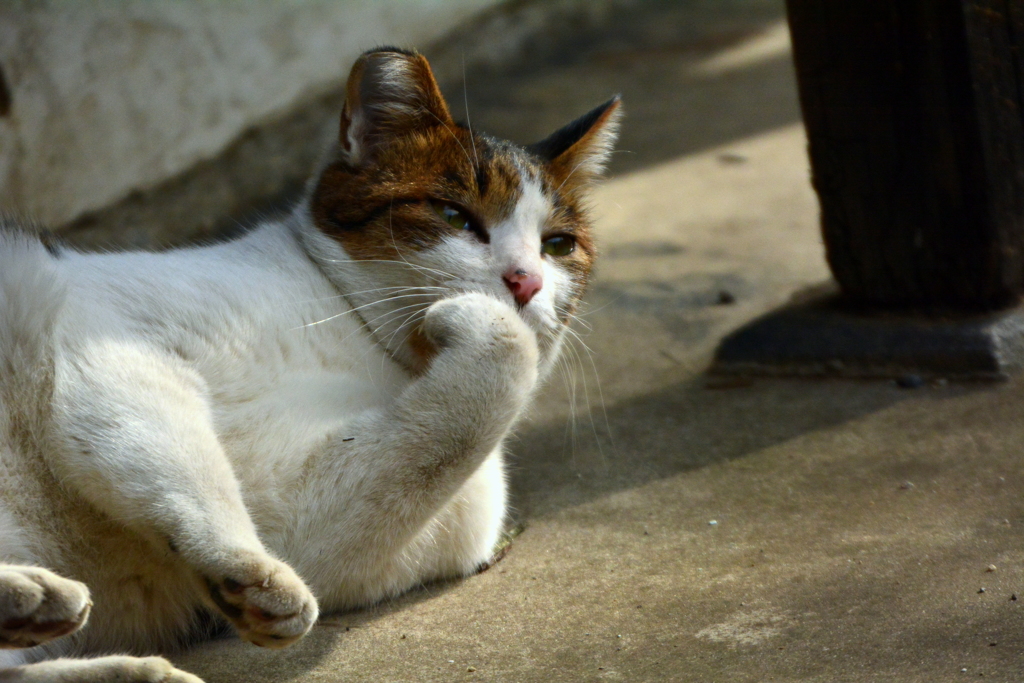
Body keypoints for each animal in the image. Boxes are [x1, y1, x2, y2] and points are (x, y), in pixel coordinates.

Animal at [0, 48, 618, 683]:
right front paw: (246, 567)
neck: (359, 340)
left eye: (558, 245)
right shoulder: (107, 338)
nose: (526, 281)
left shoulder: (314, 523)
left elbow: (440, 438)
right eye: (454, 214)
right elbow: (179, 464)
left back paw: (61, 619)